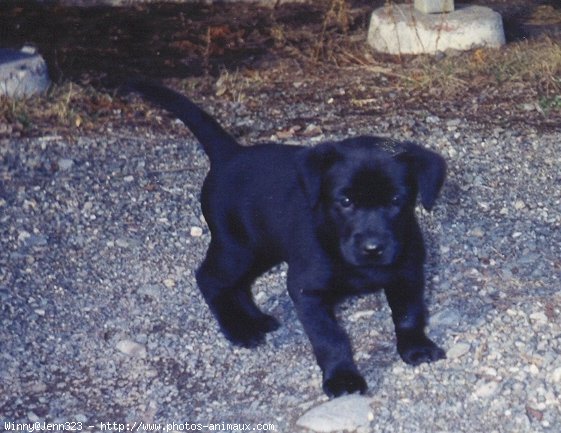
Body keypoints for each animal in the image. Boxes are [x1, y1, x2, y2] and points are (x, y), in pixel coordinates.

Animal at [132, 82, 446, 396]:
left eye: (396, 200)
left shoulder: (408, 274)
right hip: (236, 247)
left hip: (263, 248)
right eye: (345, 201)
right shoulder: (307, 291)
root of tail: (231, 154)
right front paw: (342, 377)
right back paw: (239, 329)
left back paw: (256, 319)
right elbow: (330, 338)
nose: (372, 248)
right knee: (209, 279)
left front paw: (416, 347)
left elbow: (409, 315)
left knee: (240, 284)